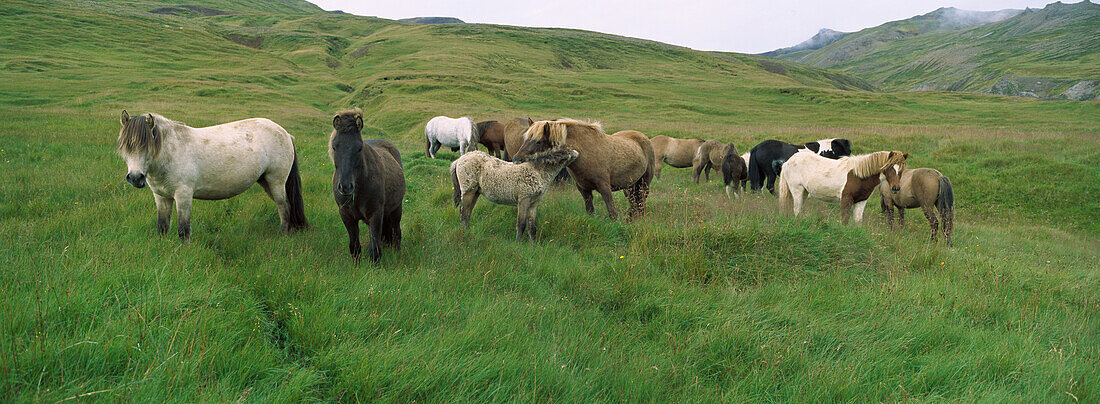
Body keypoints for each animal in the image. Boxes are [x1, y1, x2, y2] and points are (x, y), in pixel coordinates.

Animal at [116, 110, 308, 242]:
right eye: (126, 146)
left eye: (146, 146)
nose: (135, 178)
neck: (171, 153)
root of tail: (285, 133)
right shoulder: (161, 197)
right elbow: (162, 227)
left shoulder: (183, 196)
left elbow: (183, 230)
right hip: (266, 182)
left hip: (276, 182)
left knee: (284, 208)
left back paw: (283, 236)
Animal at [332, 108, 411, 264]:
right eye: (334, 147)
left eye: (359, 148)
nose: (345, 186)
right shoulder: (346, 215)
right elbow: (354, 246)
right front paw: (356, 266)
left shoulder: (375, 214)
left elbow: (375, 248)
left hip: (396, 209)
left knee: (396, 232)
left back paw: (397, 253)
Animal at [451, 147, 580, 242]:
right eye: (565, 150)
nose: (577, 153)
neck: (537, 172)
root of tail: (460, 159)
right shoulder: (523, 200)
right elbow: (521, 224)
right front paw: (518, 244)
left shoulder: (533, 204)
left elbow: (532, 226)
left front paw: (534, 245)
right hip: (468, 191)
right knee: (464, 213)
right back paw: (465, 234)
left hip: (476, 193)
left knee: (467, 213)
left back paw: (467, 232)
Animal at [512, 119, 655, 221]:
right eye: (526, 139)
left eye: (539, 142)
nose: (516, 158)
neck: (586, 153)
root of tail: (644, 138)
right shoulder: (584, 189)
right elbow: (590, 211)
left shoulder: (604, 187)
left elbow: (612, 212)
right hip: (630, 185)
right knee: (634, 202)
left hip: (644, 183)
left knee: (641, 202)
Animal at [774, 150, 902, 224]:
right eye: (890, 167)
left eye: (901, 169)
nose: (895, 188)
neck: (859, 175)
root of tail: (788, 162)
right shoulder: (846, 199)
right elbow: (844, 219)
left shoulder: (861, 201)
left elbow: (857, 221)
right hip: (797, 190)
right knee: (797, 209)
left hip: (804, 192)